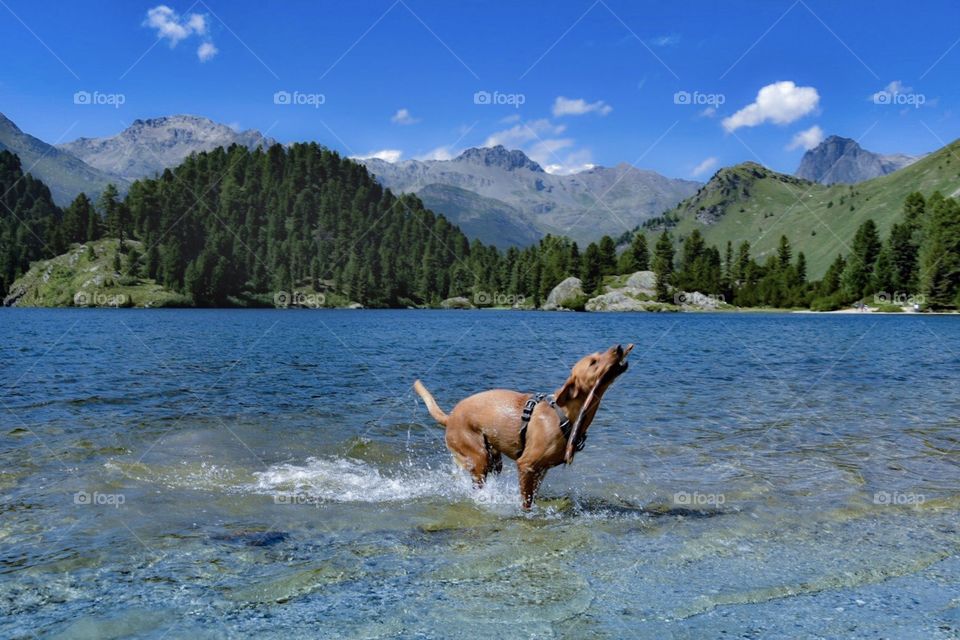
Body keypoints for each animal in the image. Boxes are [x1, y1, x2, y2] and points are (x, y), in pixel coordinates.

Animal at [412, 342, 632, 508]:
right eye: (593, 362)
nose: (619, 347)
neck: (565, 414)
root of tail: (449, 418)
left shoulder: (541, 470)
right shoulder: (526, 465)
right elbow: (526, 502)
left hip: (494, 460)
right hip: (478, 457)